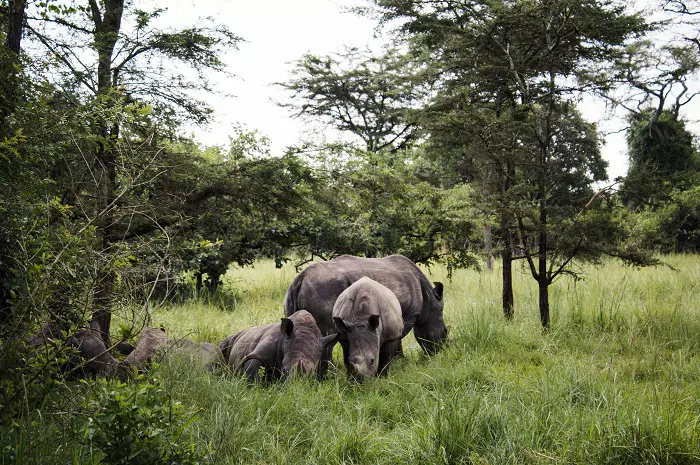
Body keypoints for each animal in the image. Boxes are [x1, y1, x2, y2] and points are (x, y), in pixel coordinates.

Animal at [286, 252, 446, 376]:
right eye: (444, 332)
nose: (440, 352)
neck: (429, 303)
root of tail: (300, 279)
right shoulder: (410, 314)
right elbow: (400, 336)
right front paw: (400, 361)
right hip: (323, 288)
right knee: (327, 337)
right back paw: (326, 377)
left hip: (291, 295)